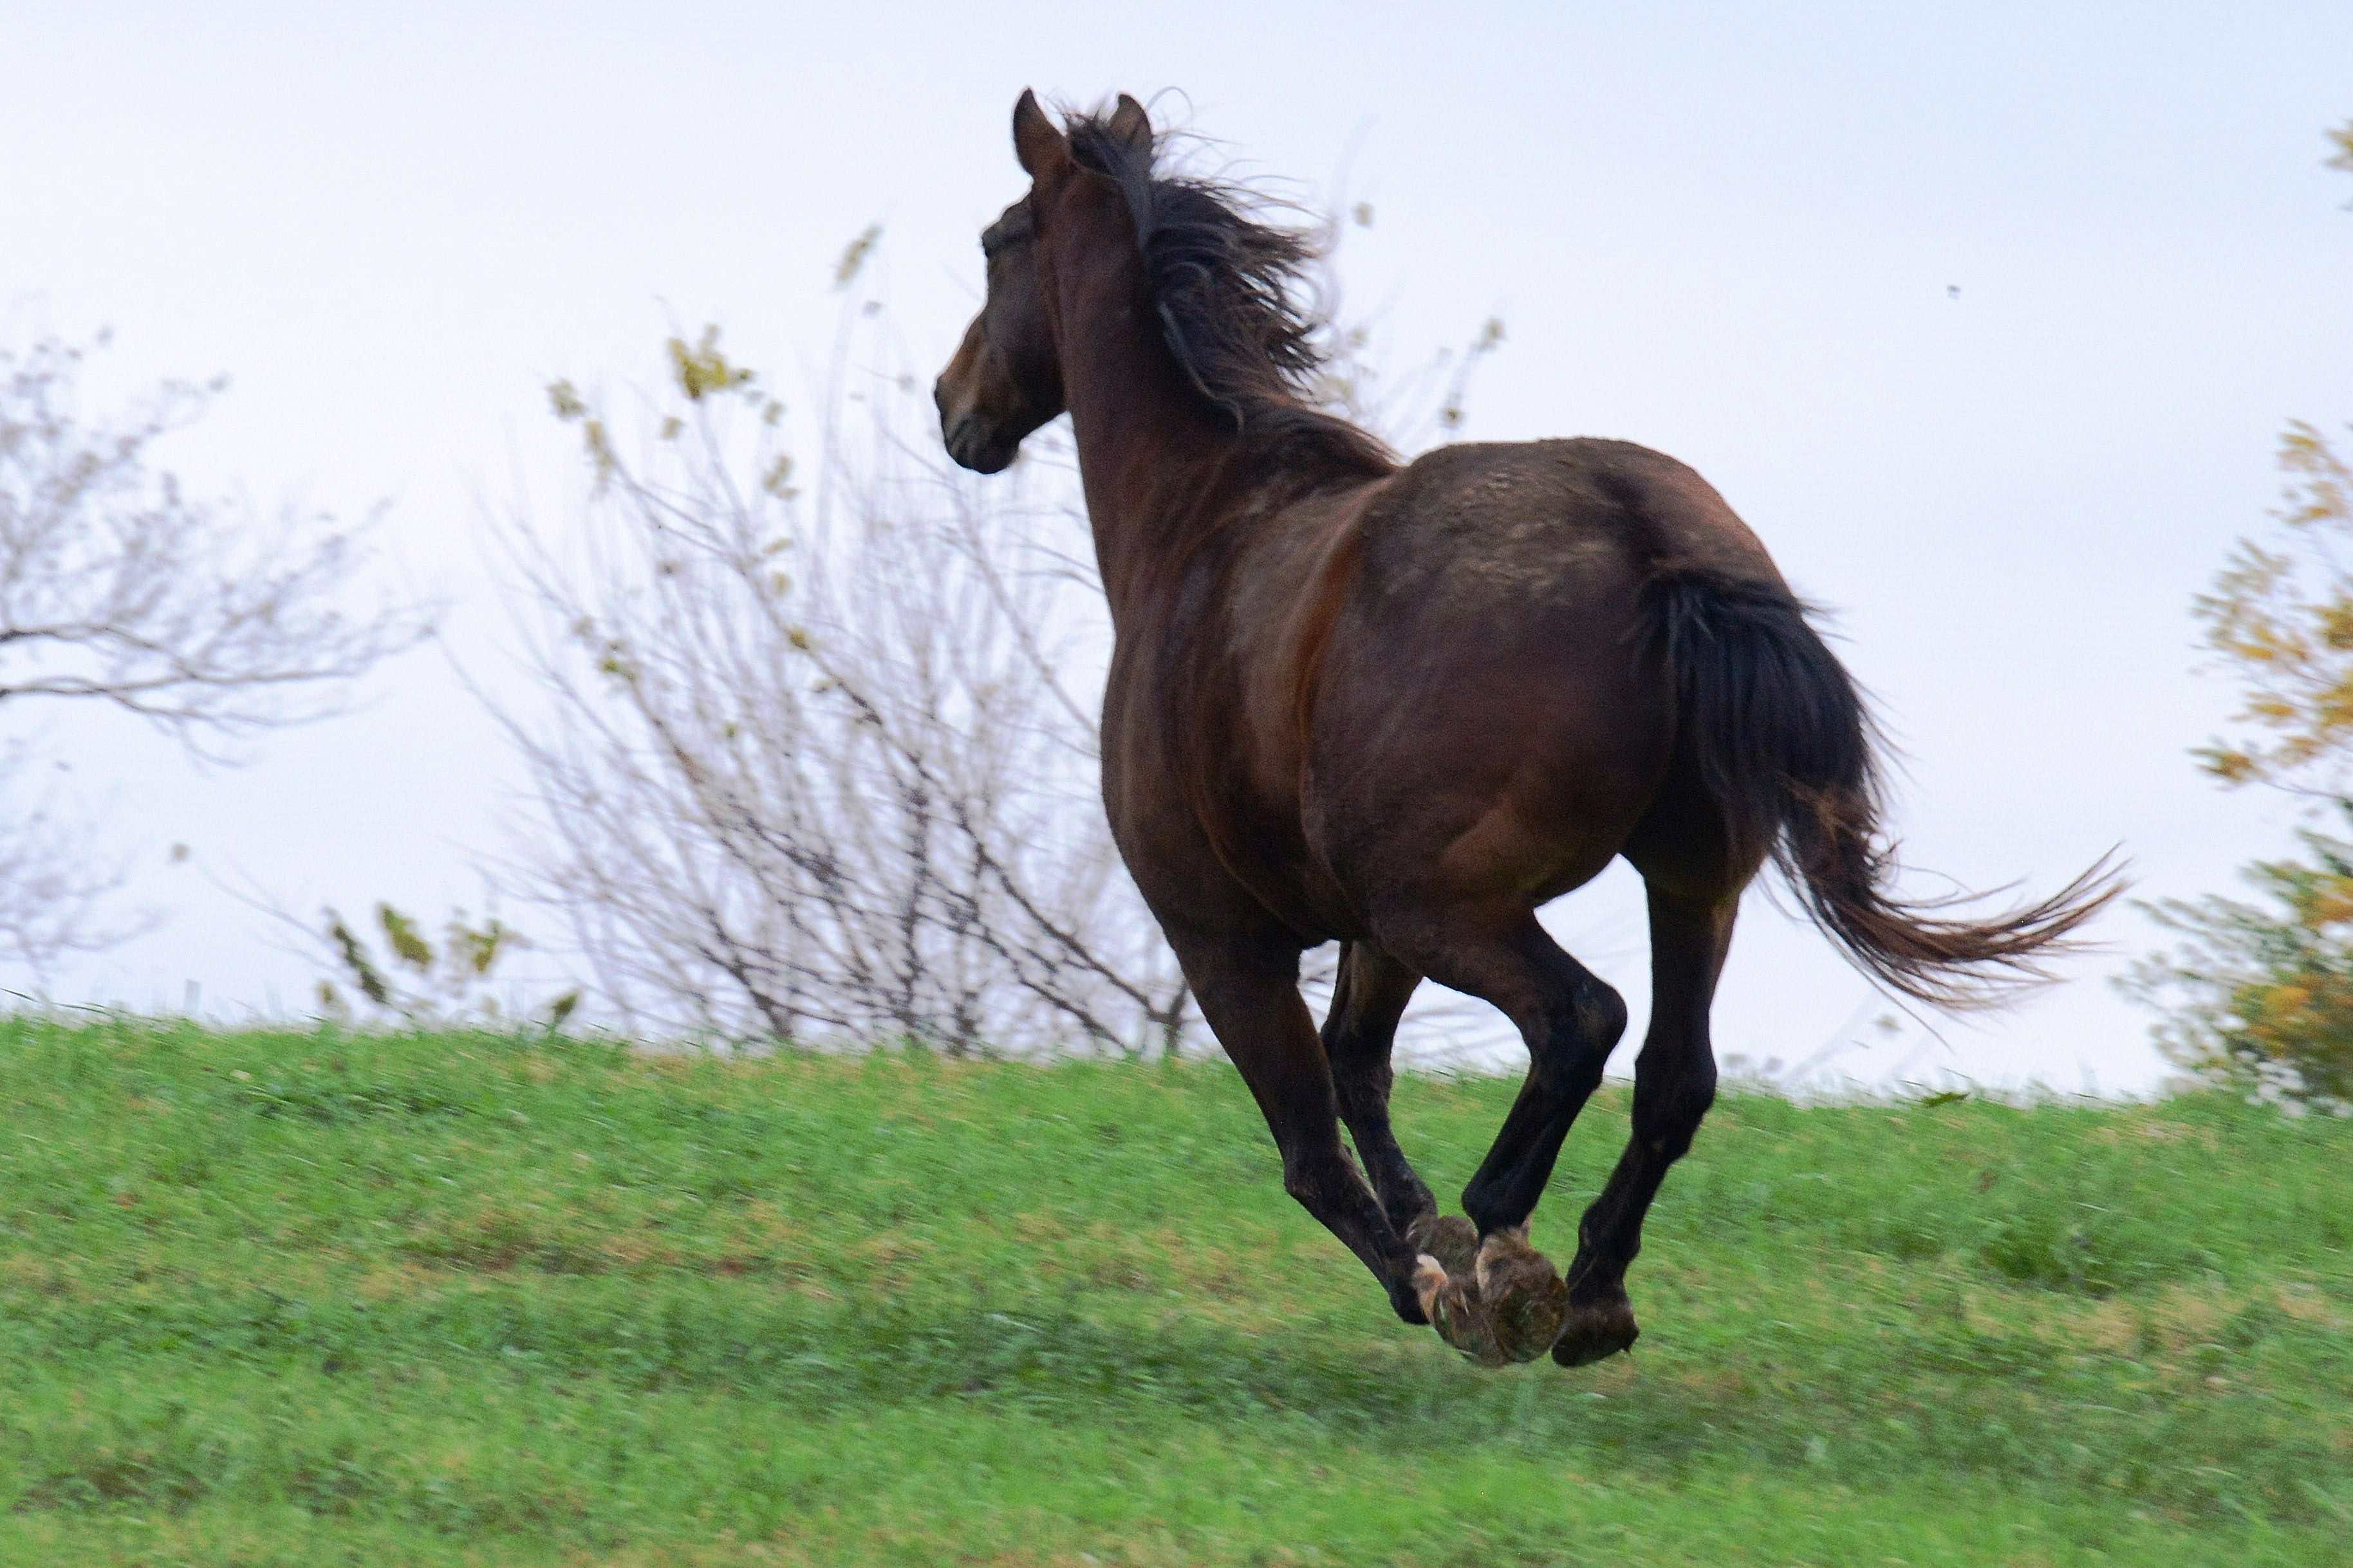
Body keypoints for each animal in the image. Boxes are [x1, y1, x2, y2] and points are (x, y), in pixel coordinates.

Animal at [927, 92, 2127, 1363]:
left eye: (999, 240)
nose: (955, 406)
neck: (1203, 523)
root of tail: (1656, 546)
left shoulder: (1222, 935)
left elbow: (1313, 1151)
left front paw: (1439, 1276)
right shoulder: (1371, 931)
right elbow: (1360, 1075)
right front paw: (1434, 1235)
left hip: (1451, 901)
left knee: (1578, 1020)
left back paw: (1508, 1250)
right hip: (1685, 882)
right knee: (1673, 1076)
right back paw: (1592, 1290)